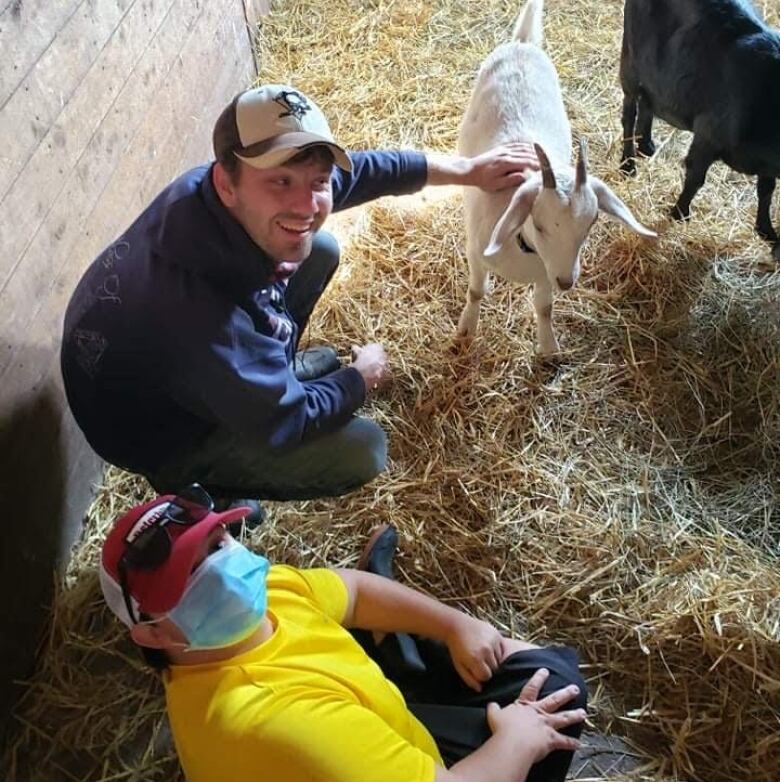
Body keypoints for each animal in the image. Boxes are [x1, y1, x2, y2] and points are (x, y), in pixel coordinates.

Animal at [460, 0, 656, 356]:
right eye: (538, 224)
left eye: (591, 223)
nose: (566, 281)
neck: (522, 247)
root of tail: (523, 44)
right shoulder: (476, 252)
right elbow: (476, 291)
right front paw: (466, 330)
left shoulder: (545, 272)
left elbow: (544, 307)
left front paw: (548, 347)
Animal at [620, 0, 780, 264]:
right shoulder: (708, 135)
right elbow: (695, 178)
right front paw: (679, 213)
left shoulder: (767, 166)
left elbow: (766, 190)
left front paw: (766, 231)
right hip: (630, 60)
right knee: (629, 110)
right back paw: (627, 163)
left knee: (648, 99)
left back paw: (646, 144)